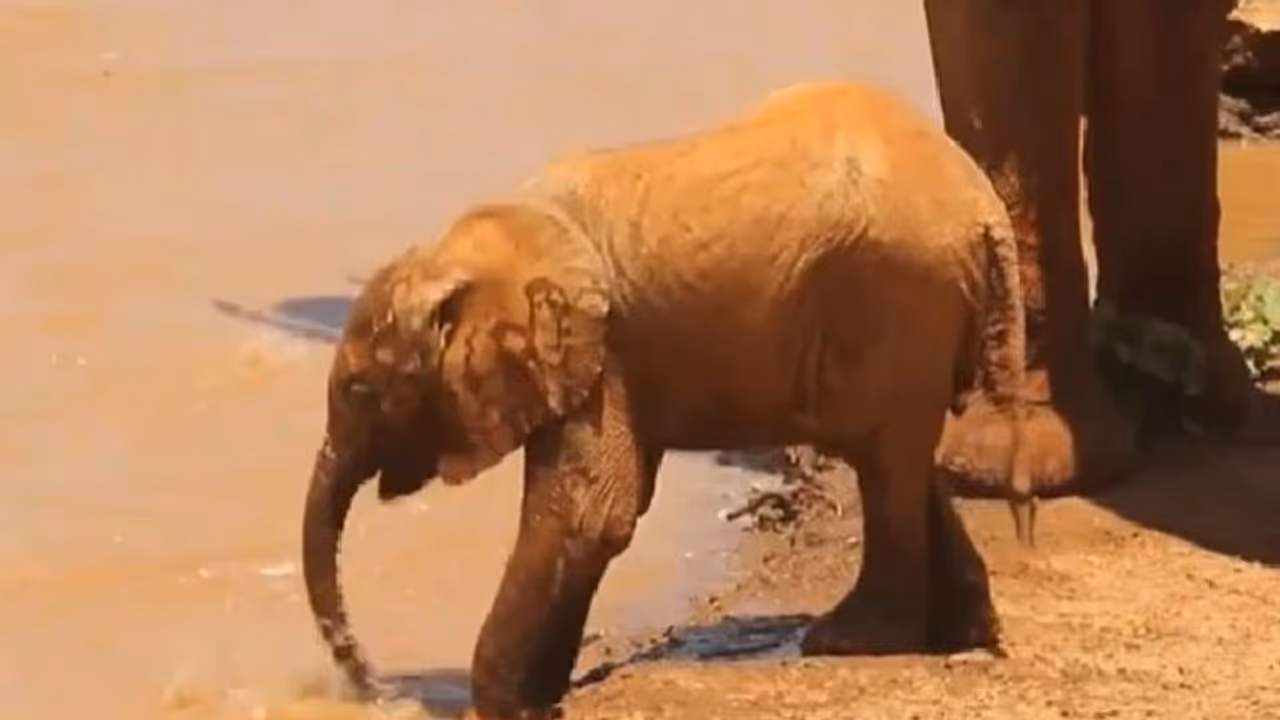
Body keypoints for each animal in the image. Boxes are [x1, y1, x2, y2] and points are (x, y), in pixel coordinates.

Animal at [300, 81, 1035, 720]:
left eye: (361, 391)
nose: (368, 683)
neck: (473, 248)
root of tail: (985, 209)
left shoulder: (600, 356)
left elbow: (588, 514)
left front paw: (501, 707)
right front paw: (540, 697)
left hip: (898, 294)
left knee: (881, 460)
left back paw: (847, 641)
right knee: (900, 456)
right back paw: (963, 632)